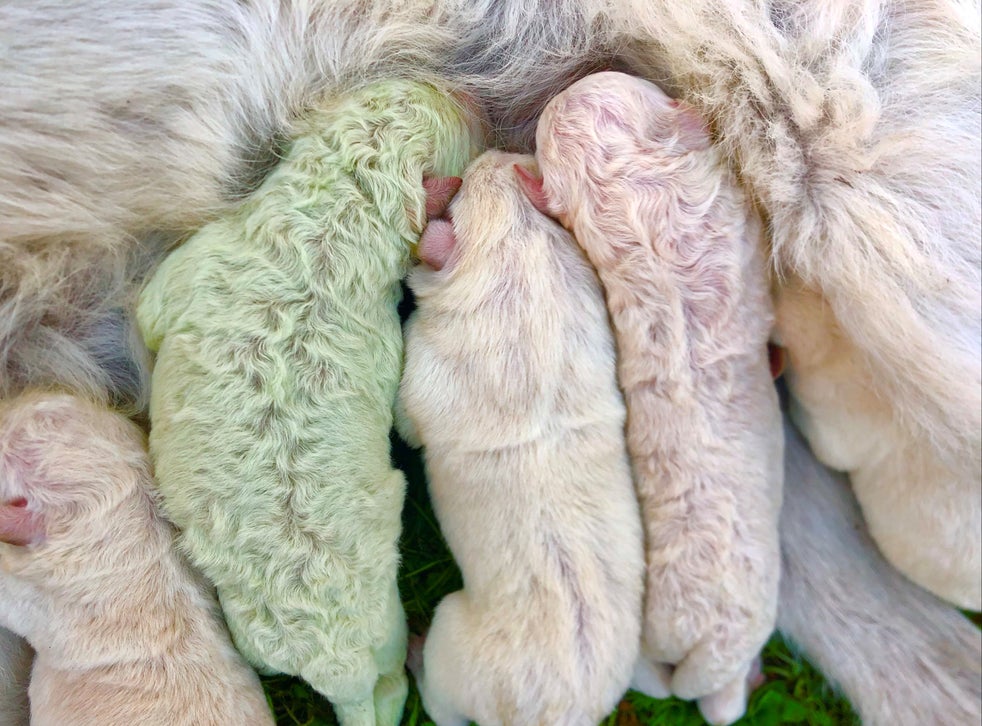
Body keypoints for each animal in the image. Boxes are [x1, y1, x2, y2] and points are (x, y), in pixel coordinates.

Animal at [136, 79, 482, 726]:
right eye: (400, 86)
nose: (467, 93)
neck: (336, 214)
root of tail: (336, 661)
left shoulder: (189, 265)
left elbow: (145, 316)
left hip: (342, 628)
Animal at [396, 149, 648, 726]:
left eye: (462, 193)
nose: (492, 155)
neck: (522, 263)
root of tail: (555, 713)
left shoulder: (421, 370)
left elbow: (406, 421)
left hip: (454, 646)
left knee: (438, 697)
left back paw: (415, 653)